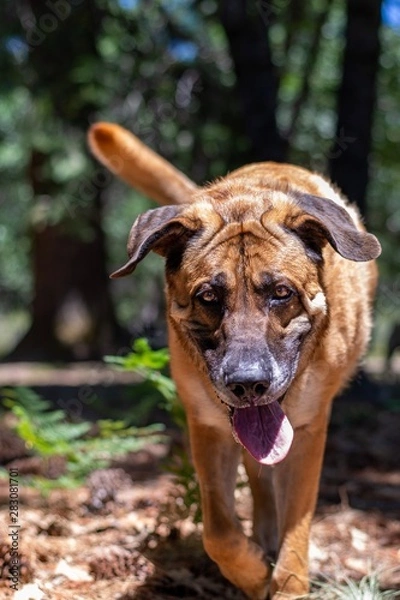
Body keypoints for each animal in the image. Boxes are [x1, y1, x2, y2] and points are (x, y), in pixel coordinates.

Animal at [88, 123, 382, 600]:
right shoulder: (207, 427)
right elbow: (219, 533)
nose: (248, 383)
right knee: (257, 486)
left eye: (281, 293)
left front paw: (286, 582)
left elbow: (297, 529)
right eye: (209, 297)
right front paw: (253, 571)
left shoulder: (308, 430)